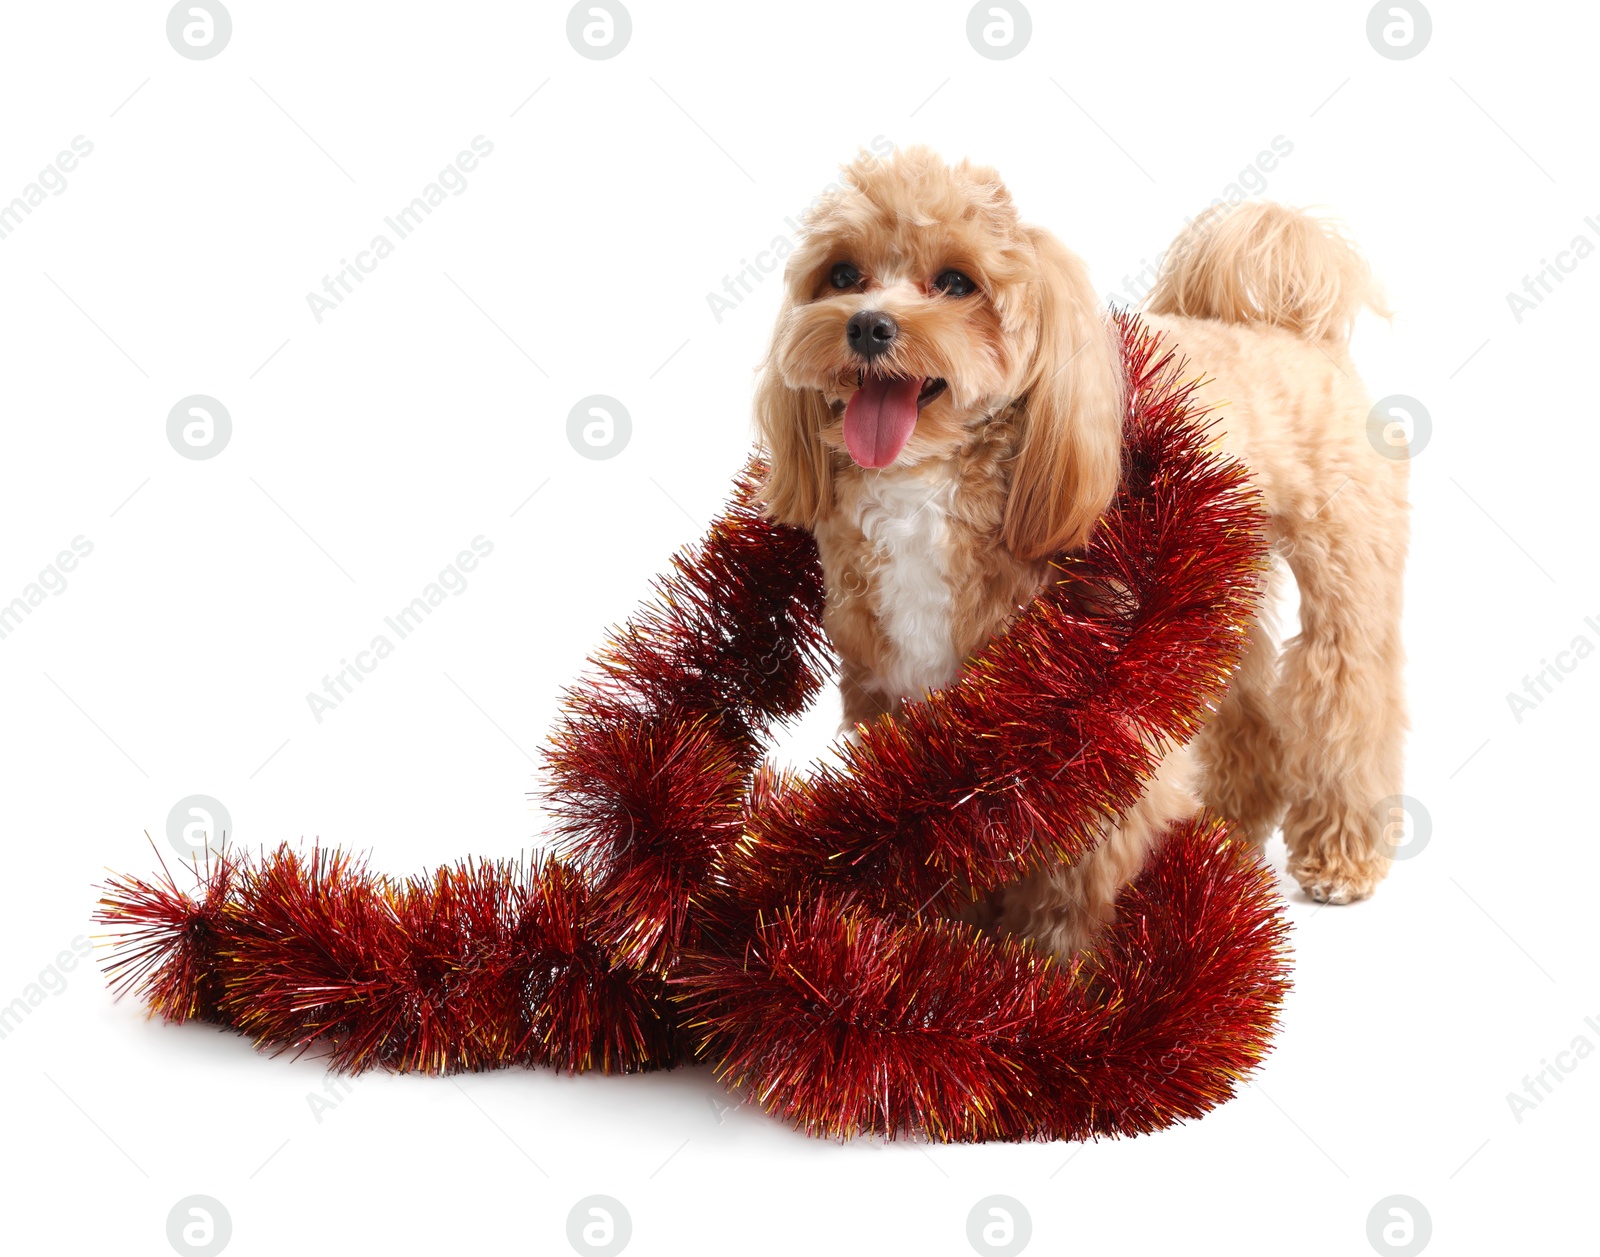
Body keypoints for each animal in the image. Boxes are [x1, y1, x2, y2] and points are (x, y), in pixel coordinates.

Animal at [748, 147, 1401, 959]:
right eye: (842, 274)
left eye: (956, 282)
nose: (868, 325)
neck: (927, 487)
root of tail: (1285, 327)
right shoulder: (896, 691)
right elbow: (932, 814)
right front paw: (948, 931)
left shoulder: (1092, 694)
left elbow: (1084, 849)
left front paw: (1058, 956)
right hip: (1217, 583)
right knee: (1247, 703)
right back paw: (1226, 828)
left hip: (1342, 560)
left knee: (1348, 693)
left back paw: (1341, 852)